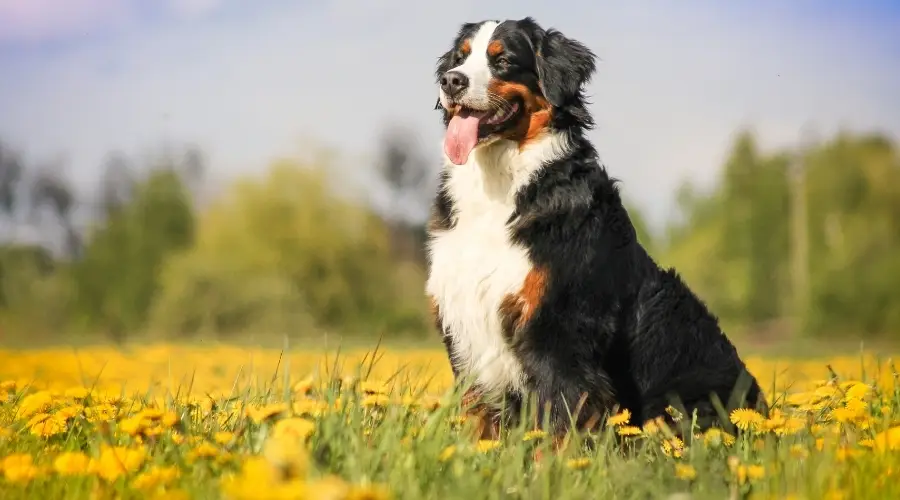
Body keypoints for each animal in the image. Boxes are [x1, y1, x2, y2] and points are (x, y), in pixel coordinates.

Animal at [426, 17, 764, 440]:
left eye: (502, 60)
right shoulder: (466, 326)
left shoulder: (558, 330)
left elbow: (558, 424)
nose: (451, 81)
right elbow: (477, 419)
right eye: (461, 57)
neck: (500, 184)